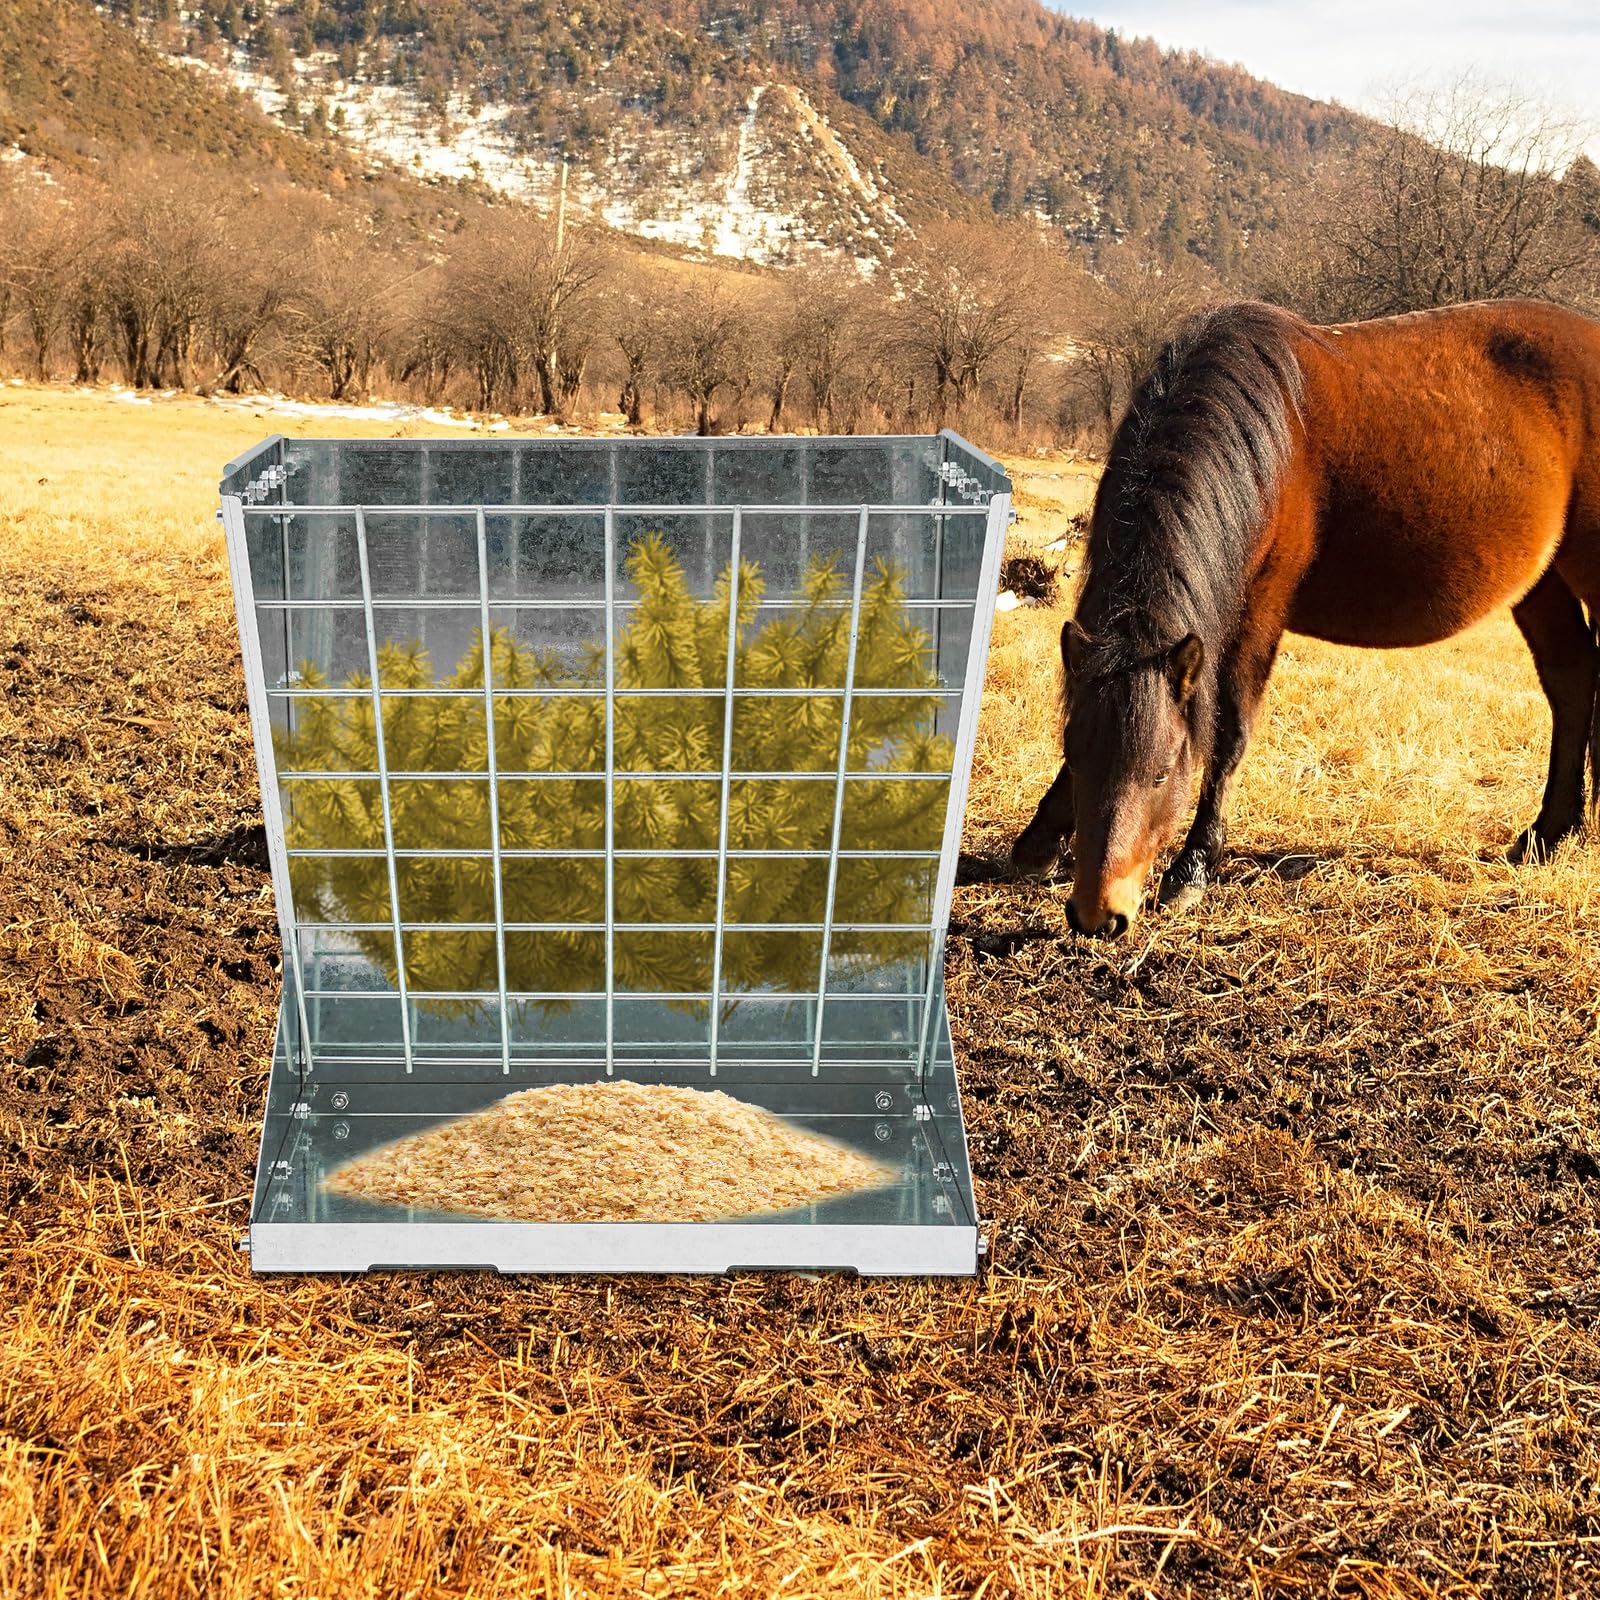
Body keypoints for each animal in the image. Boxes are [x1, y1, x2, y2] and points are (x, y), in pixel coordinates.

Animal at [1010, 297, 1600, 939]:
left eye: (1163, 773)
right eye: (1076, 757)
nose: (1099, 915)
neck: (1272, 447)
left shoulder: (1259, 613)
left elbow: (1231, 732)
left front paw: (1193, 868)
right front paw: (1038, 841)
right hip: (1542, 582)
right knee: (1572, 681)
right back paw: (1549, 835)